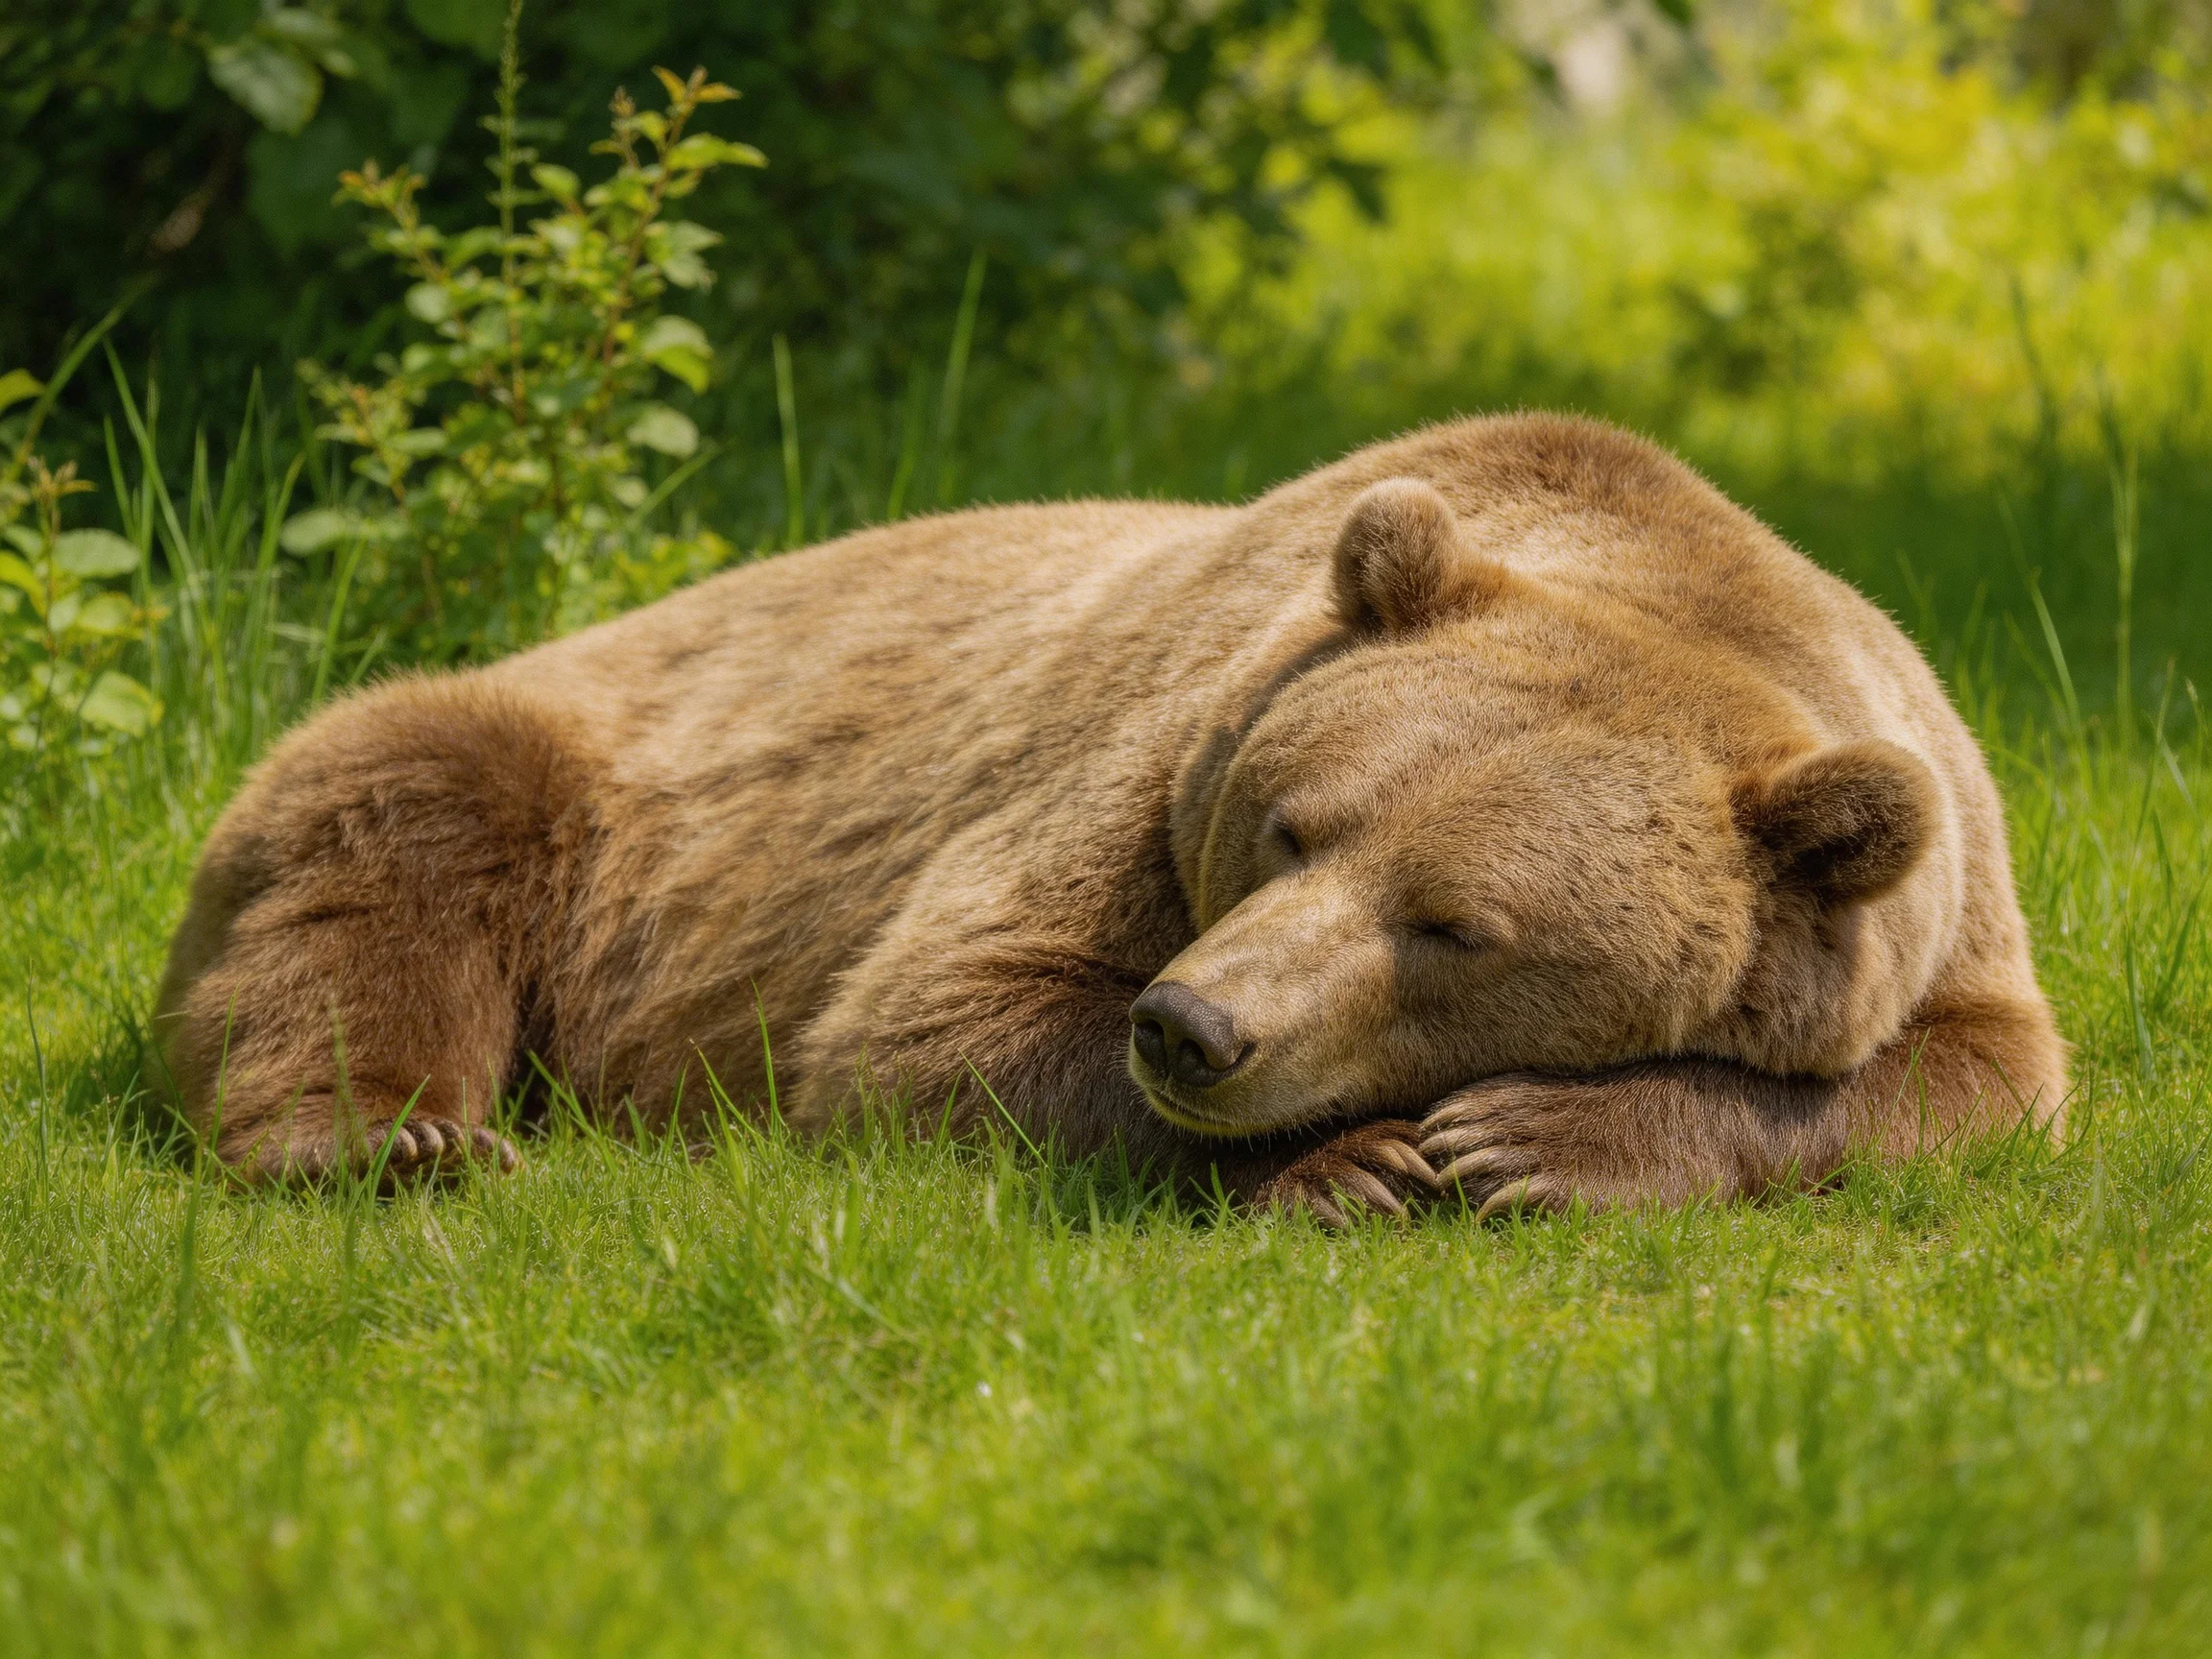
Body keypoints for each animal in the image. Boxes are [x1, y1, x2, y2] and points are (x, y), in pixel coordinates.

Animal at [151, 413, 2067, 1222]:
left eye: (1452, 924)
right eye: (1293, 826)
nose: (1194, 1026)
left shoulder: (1948, 887)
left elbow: (1963, 1078)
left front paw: (1531, 1137)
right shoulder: (1141, 758)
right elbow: (938, 1014)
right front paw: (1359, 1160)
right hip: (569, 772)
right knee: (382, 855)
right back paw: (386, 1139)